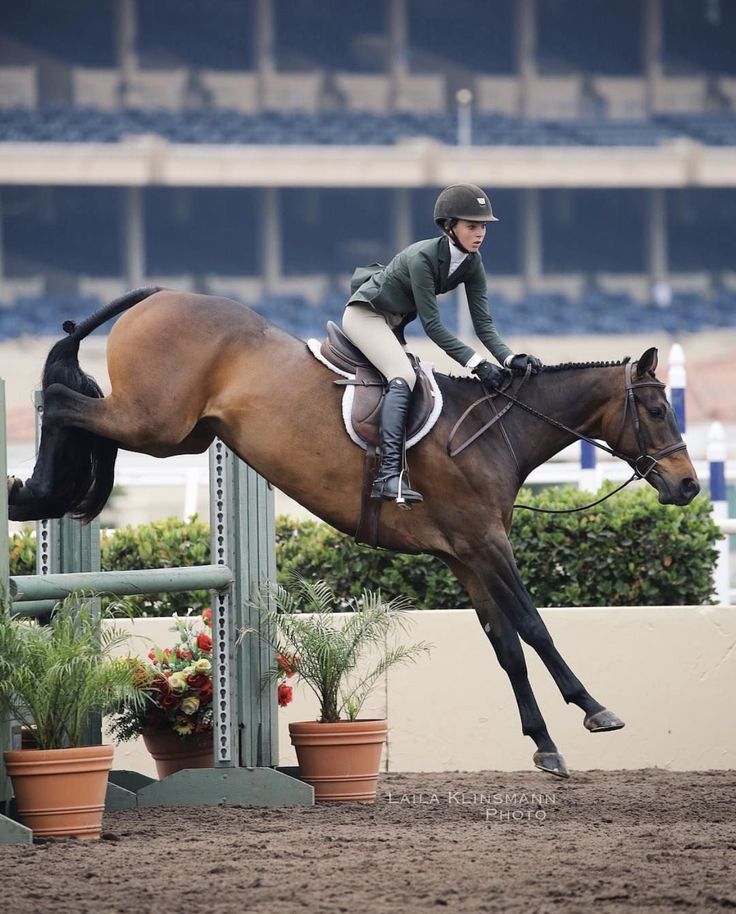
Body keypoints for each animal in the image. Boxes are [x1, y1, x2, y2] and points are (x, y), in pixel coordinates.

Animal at [8, 286, 700, 776]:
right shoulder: (486, 544)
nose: (690, 486)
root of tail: (159, 298)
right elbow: (534, 626)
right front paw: (594, 711)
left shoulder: (465, 556)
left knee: (85, 412)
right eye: (657, 409)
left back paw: (57, 491)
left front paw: (544, 744)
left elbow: (505, 643)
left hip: (183, 434)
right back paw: (34, 492)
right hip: (155, 421)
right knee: (66, 403)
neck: (498, 434)